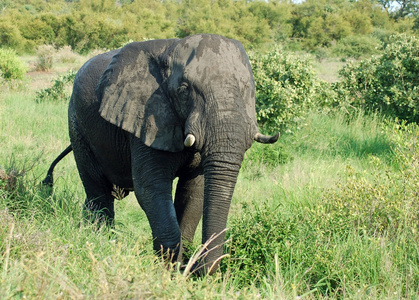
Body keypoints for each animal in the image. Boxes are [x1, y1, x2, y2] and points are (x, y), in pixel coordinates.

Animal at [44, 33, 278, 274]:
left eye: (248, 90)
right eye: (184, 90)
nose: (201, 272)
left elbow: (194, 191)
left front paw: (182, 270)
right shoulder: (145, 117)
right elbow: (151, 187)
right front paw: (167, 271)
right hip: (77, 126)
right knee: (98, 193)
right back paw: (101, 241)